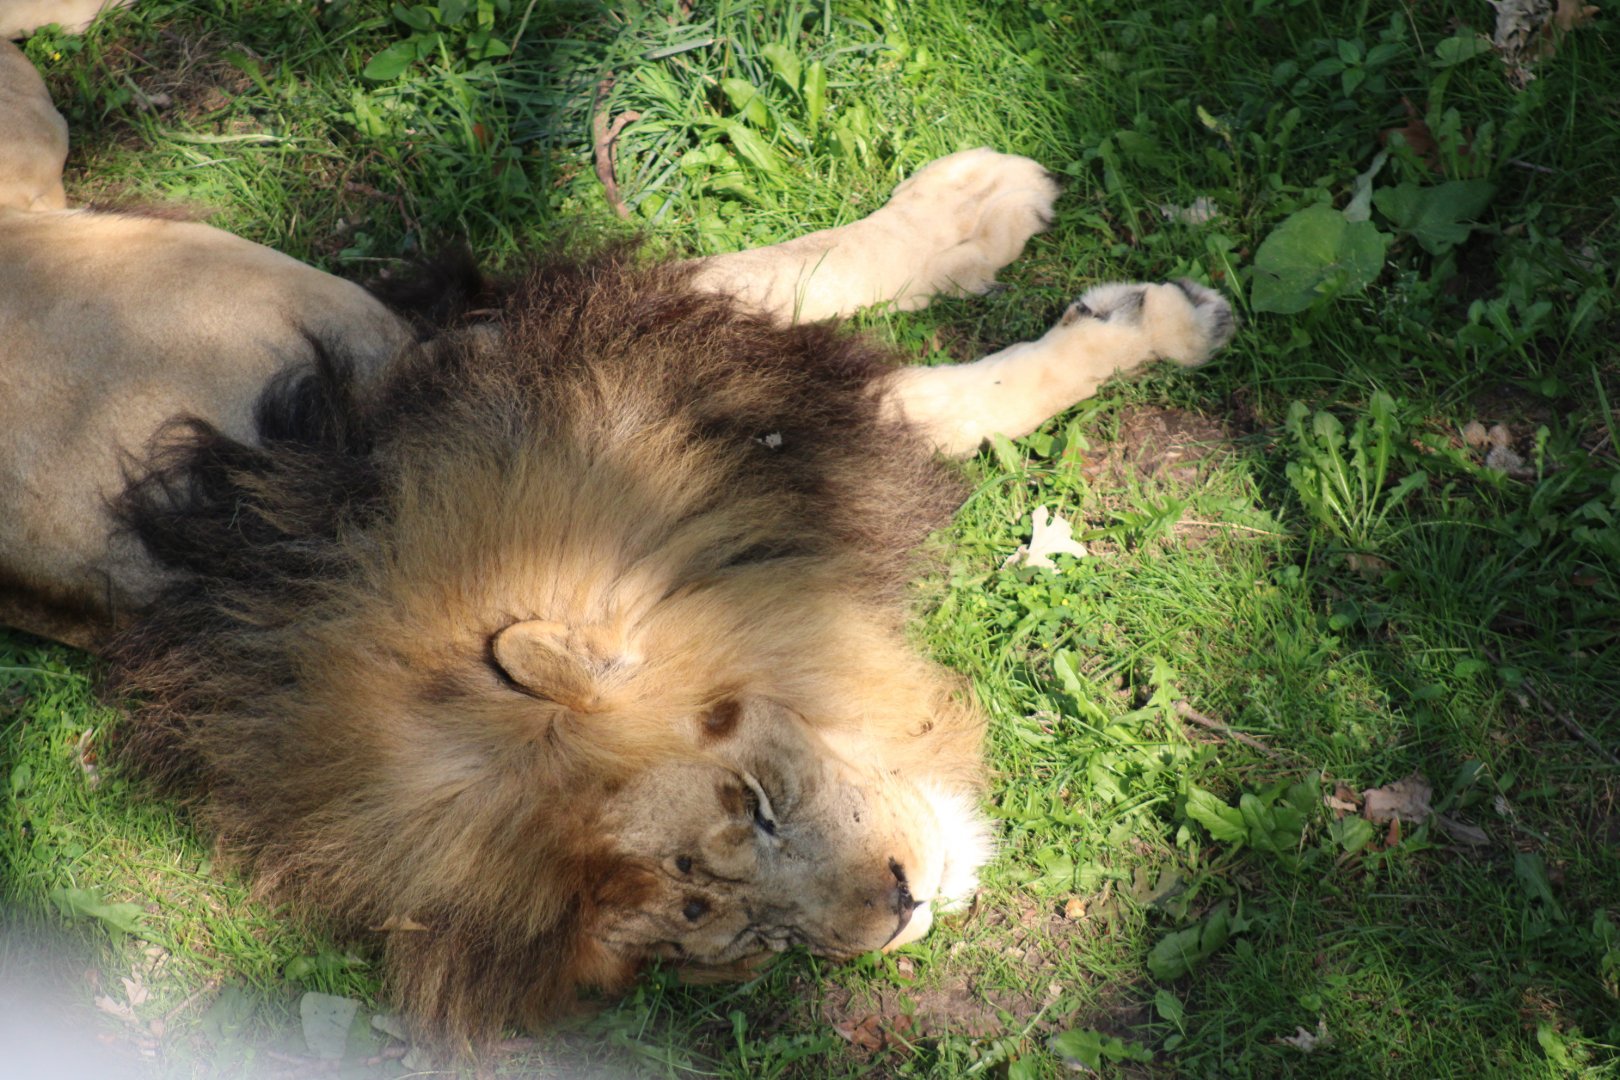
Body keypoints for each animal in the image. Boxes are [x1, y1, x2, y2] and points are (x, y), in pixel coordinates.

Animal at [0, 36, 1234, 1045]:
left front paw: (987, 208)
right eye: (744, 938)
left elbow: (790, 268)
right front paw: (1140, 321)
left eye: (760, 803)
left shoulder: (507, 335)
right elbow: (915, 384)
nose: (899, 907)